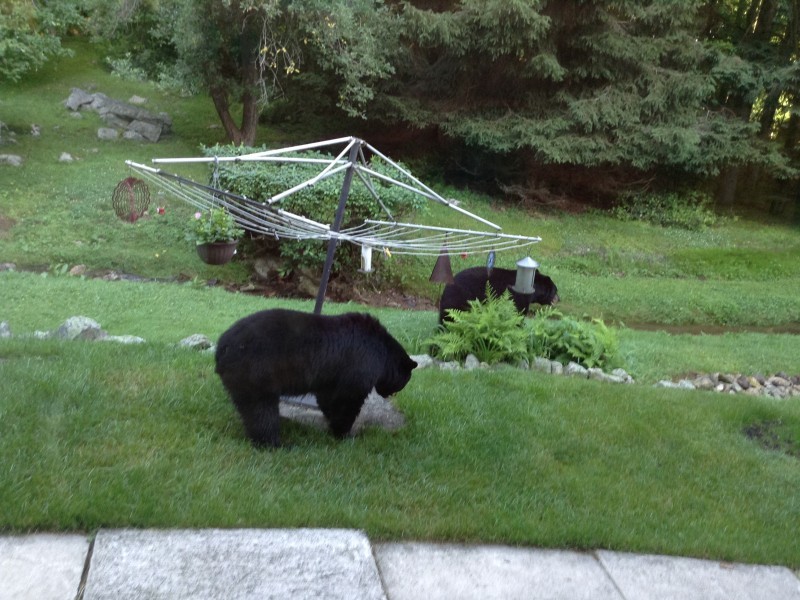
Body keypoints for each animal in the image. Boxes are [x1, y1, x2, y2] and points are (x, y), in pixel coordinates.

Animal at [216, 310, 416, 446]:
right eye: (404, 382)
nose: (390, 394)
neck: (383, 352)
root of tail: (222, 347)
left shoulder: (330, 377)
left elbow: (328, 398)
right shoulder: (360, 364)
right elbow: (348, 399)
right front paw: (346, 433)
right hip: (257, 373)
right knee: (261, 410)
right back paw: (275, 443)